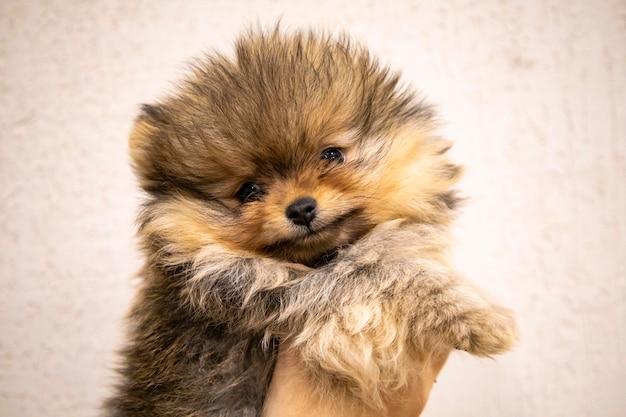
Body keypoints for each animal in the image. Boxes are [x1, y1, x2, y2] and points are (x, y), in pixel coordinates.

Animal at [105, 27, 516, 414]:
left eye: (331, 154)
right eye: (249, 190)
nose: (301, 208)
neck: (318, 259)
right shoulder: (286, 295)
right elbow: (388, 271)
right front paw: (481, 317)